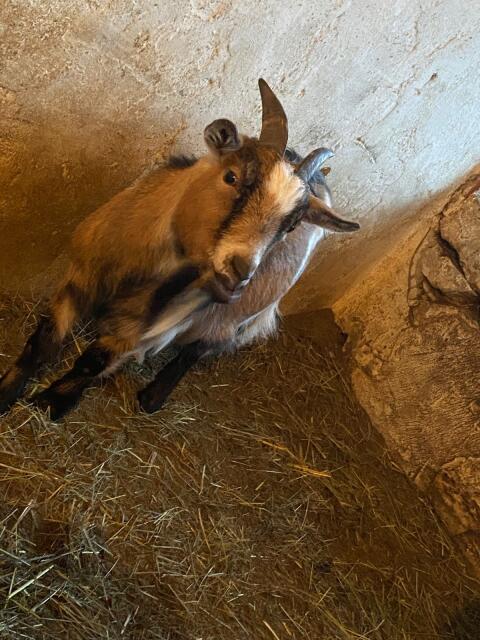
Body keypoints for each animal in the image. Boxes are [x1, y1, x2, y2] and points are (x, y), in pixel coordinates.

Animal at [0, 79, 359, 420]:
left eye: (291, 226)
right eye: (231, 176)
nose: (240, 272)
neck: (135, 270)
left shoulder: (139, 332)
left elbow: (92, 362)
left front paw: (52, 401)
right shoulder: (76, 280)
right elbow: (42, 340)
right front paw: (7, 391)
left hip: (240, 316)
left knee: (200, 349)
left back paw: (153, 396)